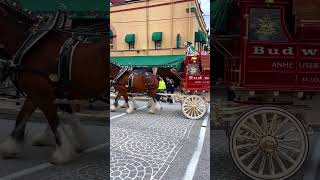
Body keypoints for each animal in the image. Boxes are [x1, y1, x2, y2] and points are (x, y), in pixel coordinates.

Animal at [0, 2, 109, 164]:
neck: (29, 42)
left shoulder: (42, 94)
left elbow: (54, 121)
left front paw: (62, 153)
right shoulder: (39, 93)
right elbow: (22, 117)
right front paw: (11, 147)